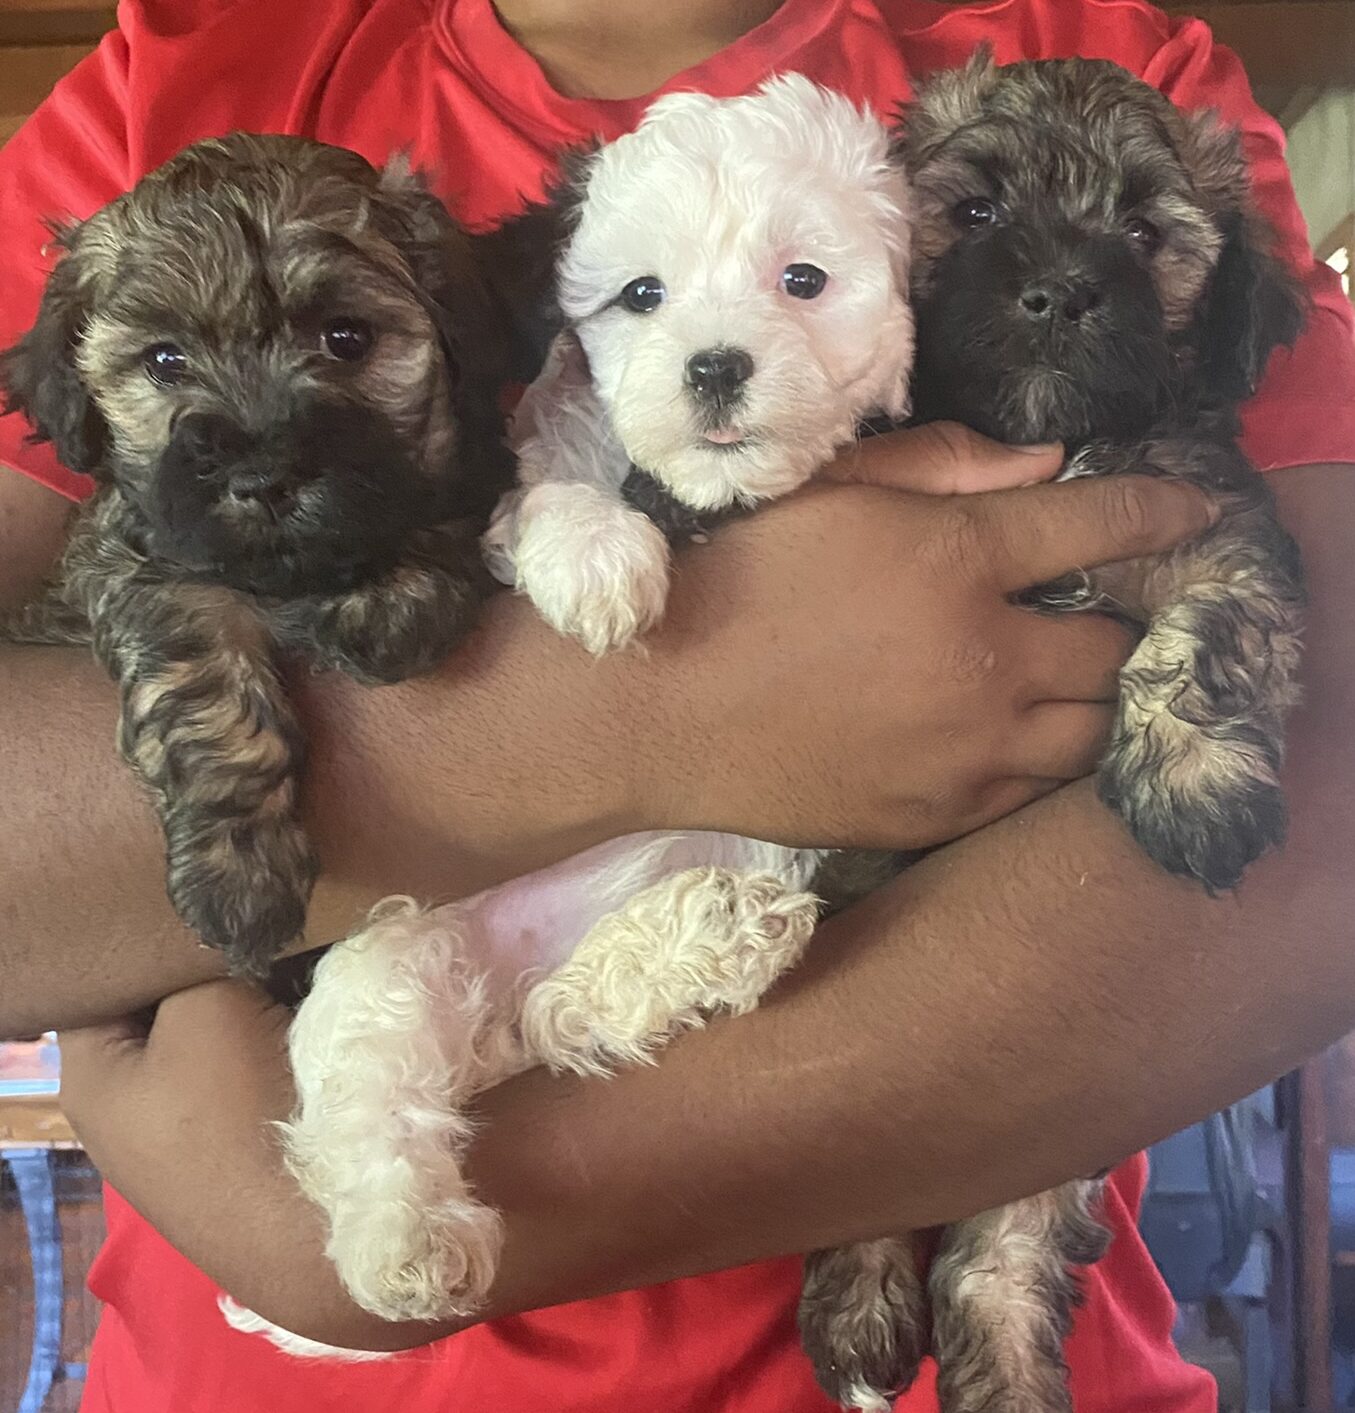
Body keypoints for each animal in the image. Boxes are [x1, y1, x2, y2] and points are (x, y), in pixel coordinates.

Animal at [1, 134, 514, 972]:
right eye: (165, 361)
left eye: (346, 337)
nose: (263, 476)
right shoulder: (137, 564)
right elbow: (197, 680)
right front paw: (237, 874)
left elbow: (434, 508)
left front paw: (392, 596)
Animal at [265, 68, 915, 1345]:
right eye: (639, 296)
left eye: (802, 280)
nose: (713, 366)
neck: (700, 499)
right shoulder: (524, 482)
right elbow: (556, 500)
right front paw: (596, 561)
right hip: (395, 956)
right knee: (381, 1094)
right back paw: (409, 1243)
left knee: (577, 1016)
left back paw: (709, 938)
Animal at [802, 55, 1311, 1413]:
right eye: (971, 213)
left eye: (1143, 235)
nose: (1062, 290)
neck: (1052, 446)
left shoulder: (1212, 526)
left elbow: (1203, 638)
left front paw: (1192, 787)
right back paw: (858, 1312)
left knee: (997, 1267)